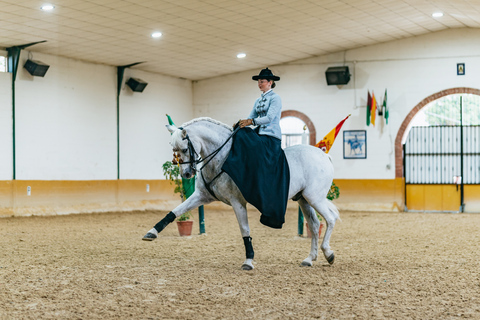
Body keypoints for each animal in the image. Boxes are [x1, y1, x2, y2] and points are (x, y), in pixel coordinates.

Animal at [143, 117, 342, 270]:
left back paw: (329, 253)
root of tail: (324, 155)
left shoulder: (237, 202)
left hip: (315, 198)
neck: (222, 157)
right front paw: (151, 233)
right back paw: (309, 259)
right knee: (315, 225)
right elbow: (175, 211)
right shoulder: (202, 196)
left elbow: (244, 230)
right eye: (173, 149)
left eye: (184, 149)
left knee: (330, 219)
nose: (186, 174)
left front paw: (248, 260)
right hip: (303, 199)